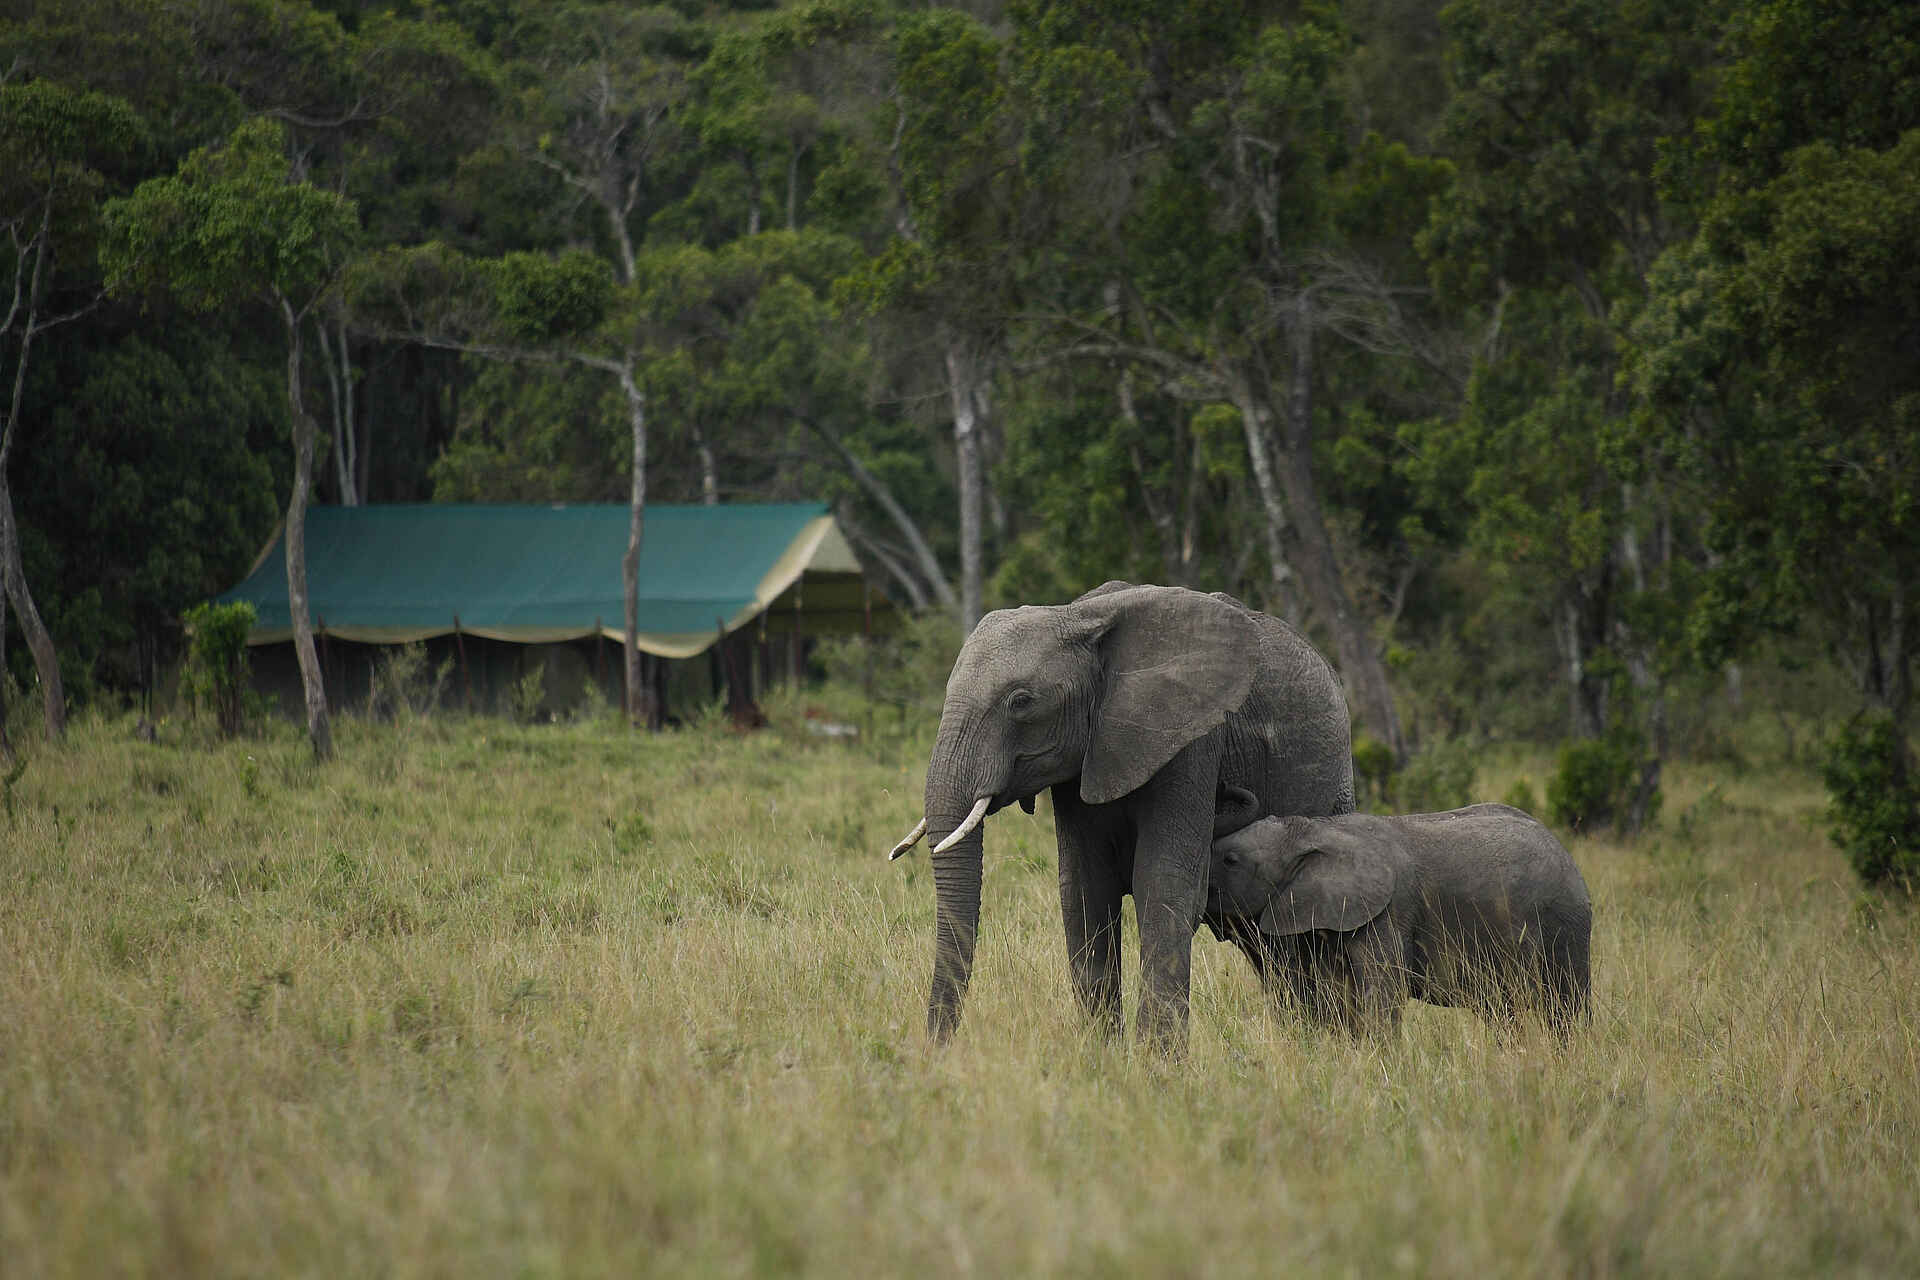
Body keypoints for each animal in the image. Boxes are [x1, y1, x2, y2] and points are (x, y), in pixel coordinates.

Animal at [886, 581, 1355, 1050]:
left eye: (1020, 702)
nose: (935, 1053)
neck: (1077, 617)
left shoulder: (1192, 741)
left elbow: (1162, 884)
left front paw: (1157, 1062)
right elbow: (1084, 892)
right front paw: (1103, 1056)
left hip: (1336, 788)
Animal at [1206, 793, 1592, 1036]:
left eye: (1230, 860)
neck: (1315, 830)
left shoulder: (1390, 912)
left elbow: (1382, 994)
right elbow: (1335, 995)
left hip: (1565, 922)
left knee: (1565, 1007)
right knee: (1503, 1012)